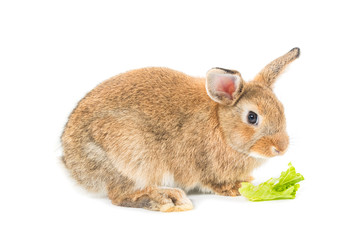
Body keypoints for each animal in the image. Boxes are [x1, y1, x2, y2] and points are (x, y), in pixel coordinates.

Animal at [62, 47, 300, 212]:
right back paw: (168, 199)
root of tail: (73, 164)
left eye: (281, 109)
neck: (221, 126)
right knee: (120, 195)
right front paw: (236, 188)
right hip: (133, 156)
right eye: (252, 117)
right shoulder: (203, 165)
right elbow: (212, 181)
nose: (281, 148)